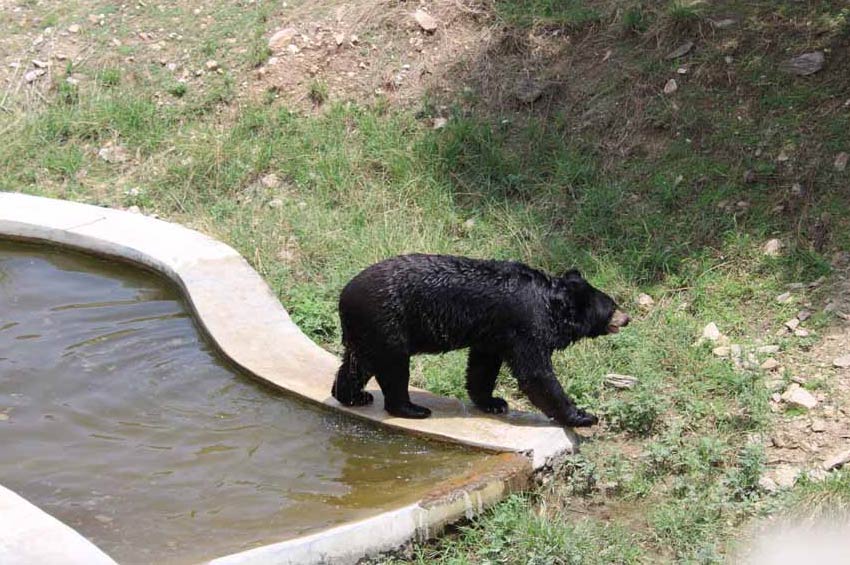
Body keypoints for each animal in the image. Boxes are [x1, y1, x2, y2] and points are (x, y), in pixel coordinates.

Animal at [328, 254, 628, 428]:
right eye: (612, 307)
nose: (627, 318)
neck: (550, 303)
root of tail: (343, 295)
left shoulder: (494, 331)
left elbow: (483, 365)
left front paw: (493, 401)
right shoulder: (526, 324)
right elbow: (535, 373)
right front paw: (583, 416)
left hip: (368, 330)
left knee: (358, 364)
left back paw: (353, 395)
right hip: (388, 322)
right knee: (394, 368)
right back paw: (412, 409)